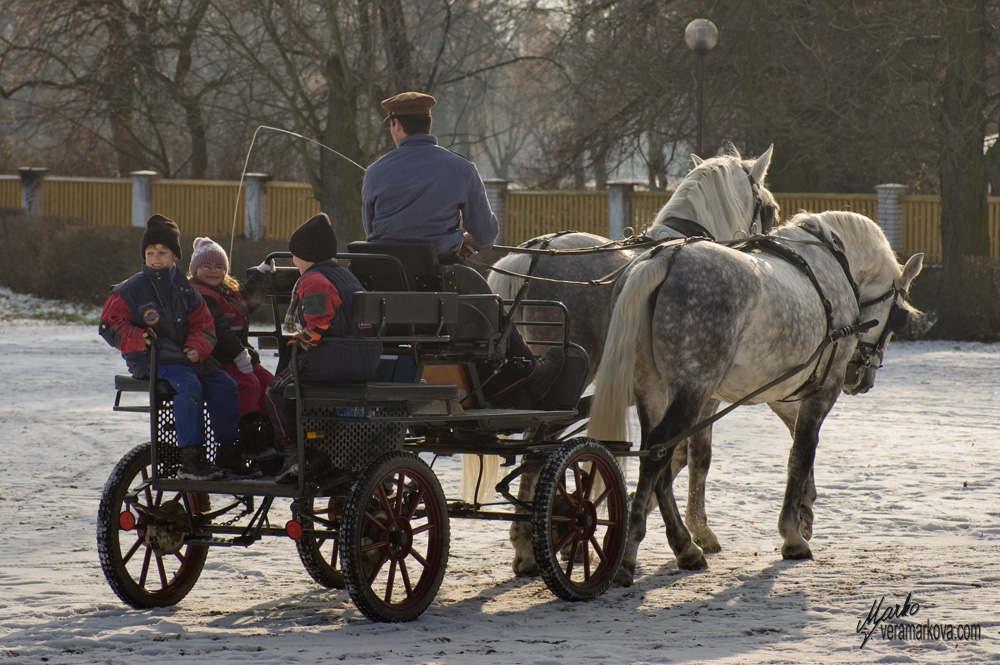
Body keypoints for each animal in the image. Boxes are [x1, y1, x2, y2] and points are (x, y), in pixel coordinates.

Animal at [462, 147, 780, 576]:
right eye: (770, 208)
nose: (767, 246)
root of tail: (537, 251)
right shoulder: (701, 392)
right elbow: (692, 456)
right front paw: (694, 536)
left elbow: (666, 457)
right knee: (538, 445)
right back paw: (534, 541)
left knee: (536, 446)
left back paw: (528, 543)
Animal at [584, 211, 920, 580]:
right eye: (900, 317)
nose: (861, 378)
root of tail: (668, 256)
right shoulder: (823, 387)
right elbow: (801, 452)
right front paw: (793, 534)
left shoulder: (780, 391)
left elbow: (791, 447)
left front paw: (804, 511)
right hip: (691, 387)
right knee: (660, 451)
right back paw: (632, 550)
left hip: (653, 389)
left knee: (656, 454)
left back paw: (684, 547)